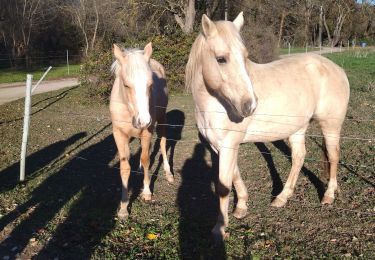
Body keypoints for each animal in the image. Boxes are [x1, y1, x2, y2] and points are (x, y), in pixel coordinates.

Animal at [108, 42, 173, 219]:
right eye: (126, 85)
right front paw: (123, 208)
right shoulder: (119, 134)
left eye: (150, 85)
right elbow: (124, 167)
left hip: (162, 120)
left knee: (163, 144)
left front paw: (146, 192)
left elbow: (145, 159)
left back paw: (168, 174)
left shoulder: (147, 132)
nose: (143, 120)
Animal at [187, 12, 352, 240]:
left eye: (245, 56)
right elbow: (235, 175)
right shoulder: (220, 146)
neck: (216, 103)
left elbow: (223, 186)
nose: (250, 105)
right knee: (299, 157)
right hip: (298, 128)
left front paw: (220, 227)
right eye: (221, 59)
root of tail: (337, 69)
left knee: (333, 156)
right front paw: (241, 207)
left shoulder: (229, 145)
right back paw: (282, 198)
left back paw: (328, 196)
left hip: (331, 126)